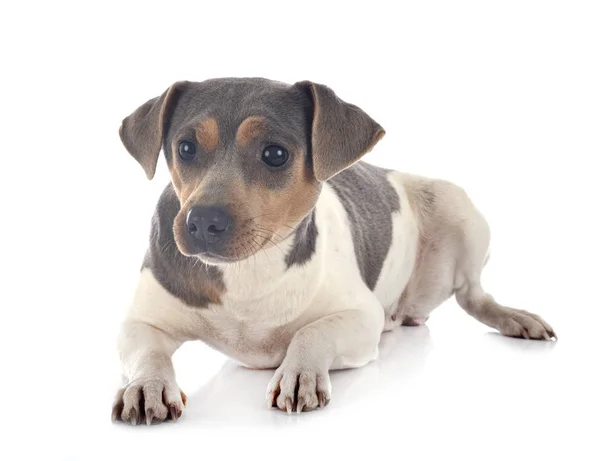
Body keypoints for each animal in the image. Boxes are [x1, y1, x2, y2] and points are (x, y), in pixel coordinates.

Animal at [110, 78, 556, 424]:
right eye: (185, 148)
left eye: (275, 154)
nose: (201, 222)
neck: (249, 271)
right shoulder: (141, 322)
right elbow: (147, 352)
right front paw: (146, 385)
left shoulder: (360, 316)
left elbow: (312, 330)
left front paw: (300, 371)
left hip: (456, 206)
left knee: (473, 294)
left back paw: (515, 317)